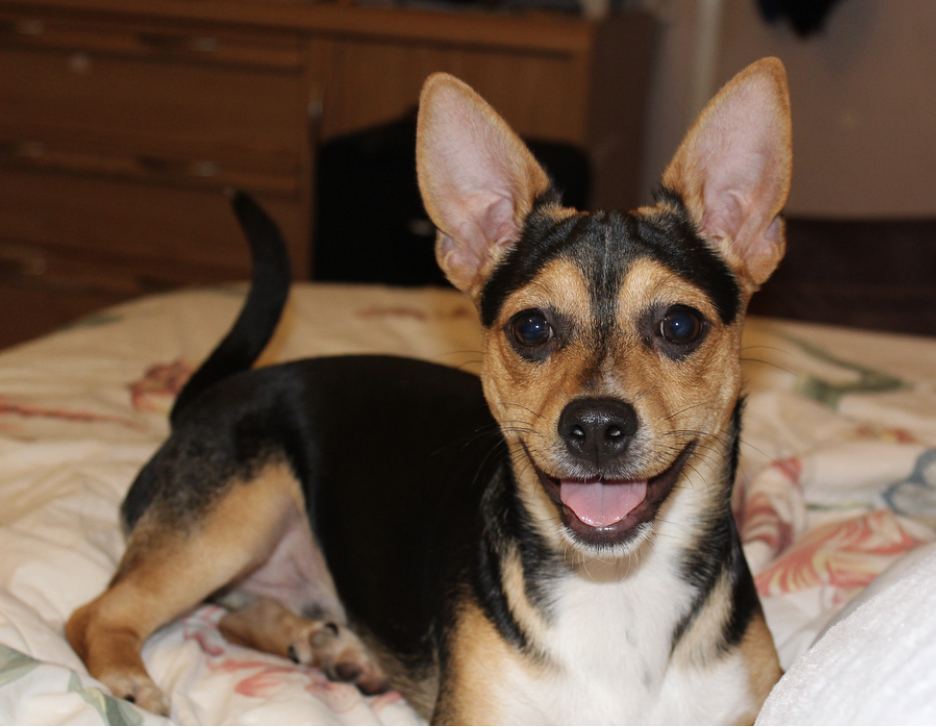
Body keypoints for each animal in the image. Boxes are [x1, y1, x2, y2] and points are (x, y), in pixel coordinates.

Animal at [67, 59, 788, 724]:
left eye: (680, 324)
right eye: (531, 327)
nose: (595, 427)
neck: (619, 586)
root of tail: (204, 399)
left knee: (228, 618)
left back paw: (327, 645)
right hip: (229, 519)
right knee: (95, 614)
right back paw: (131, 680)